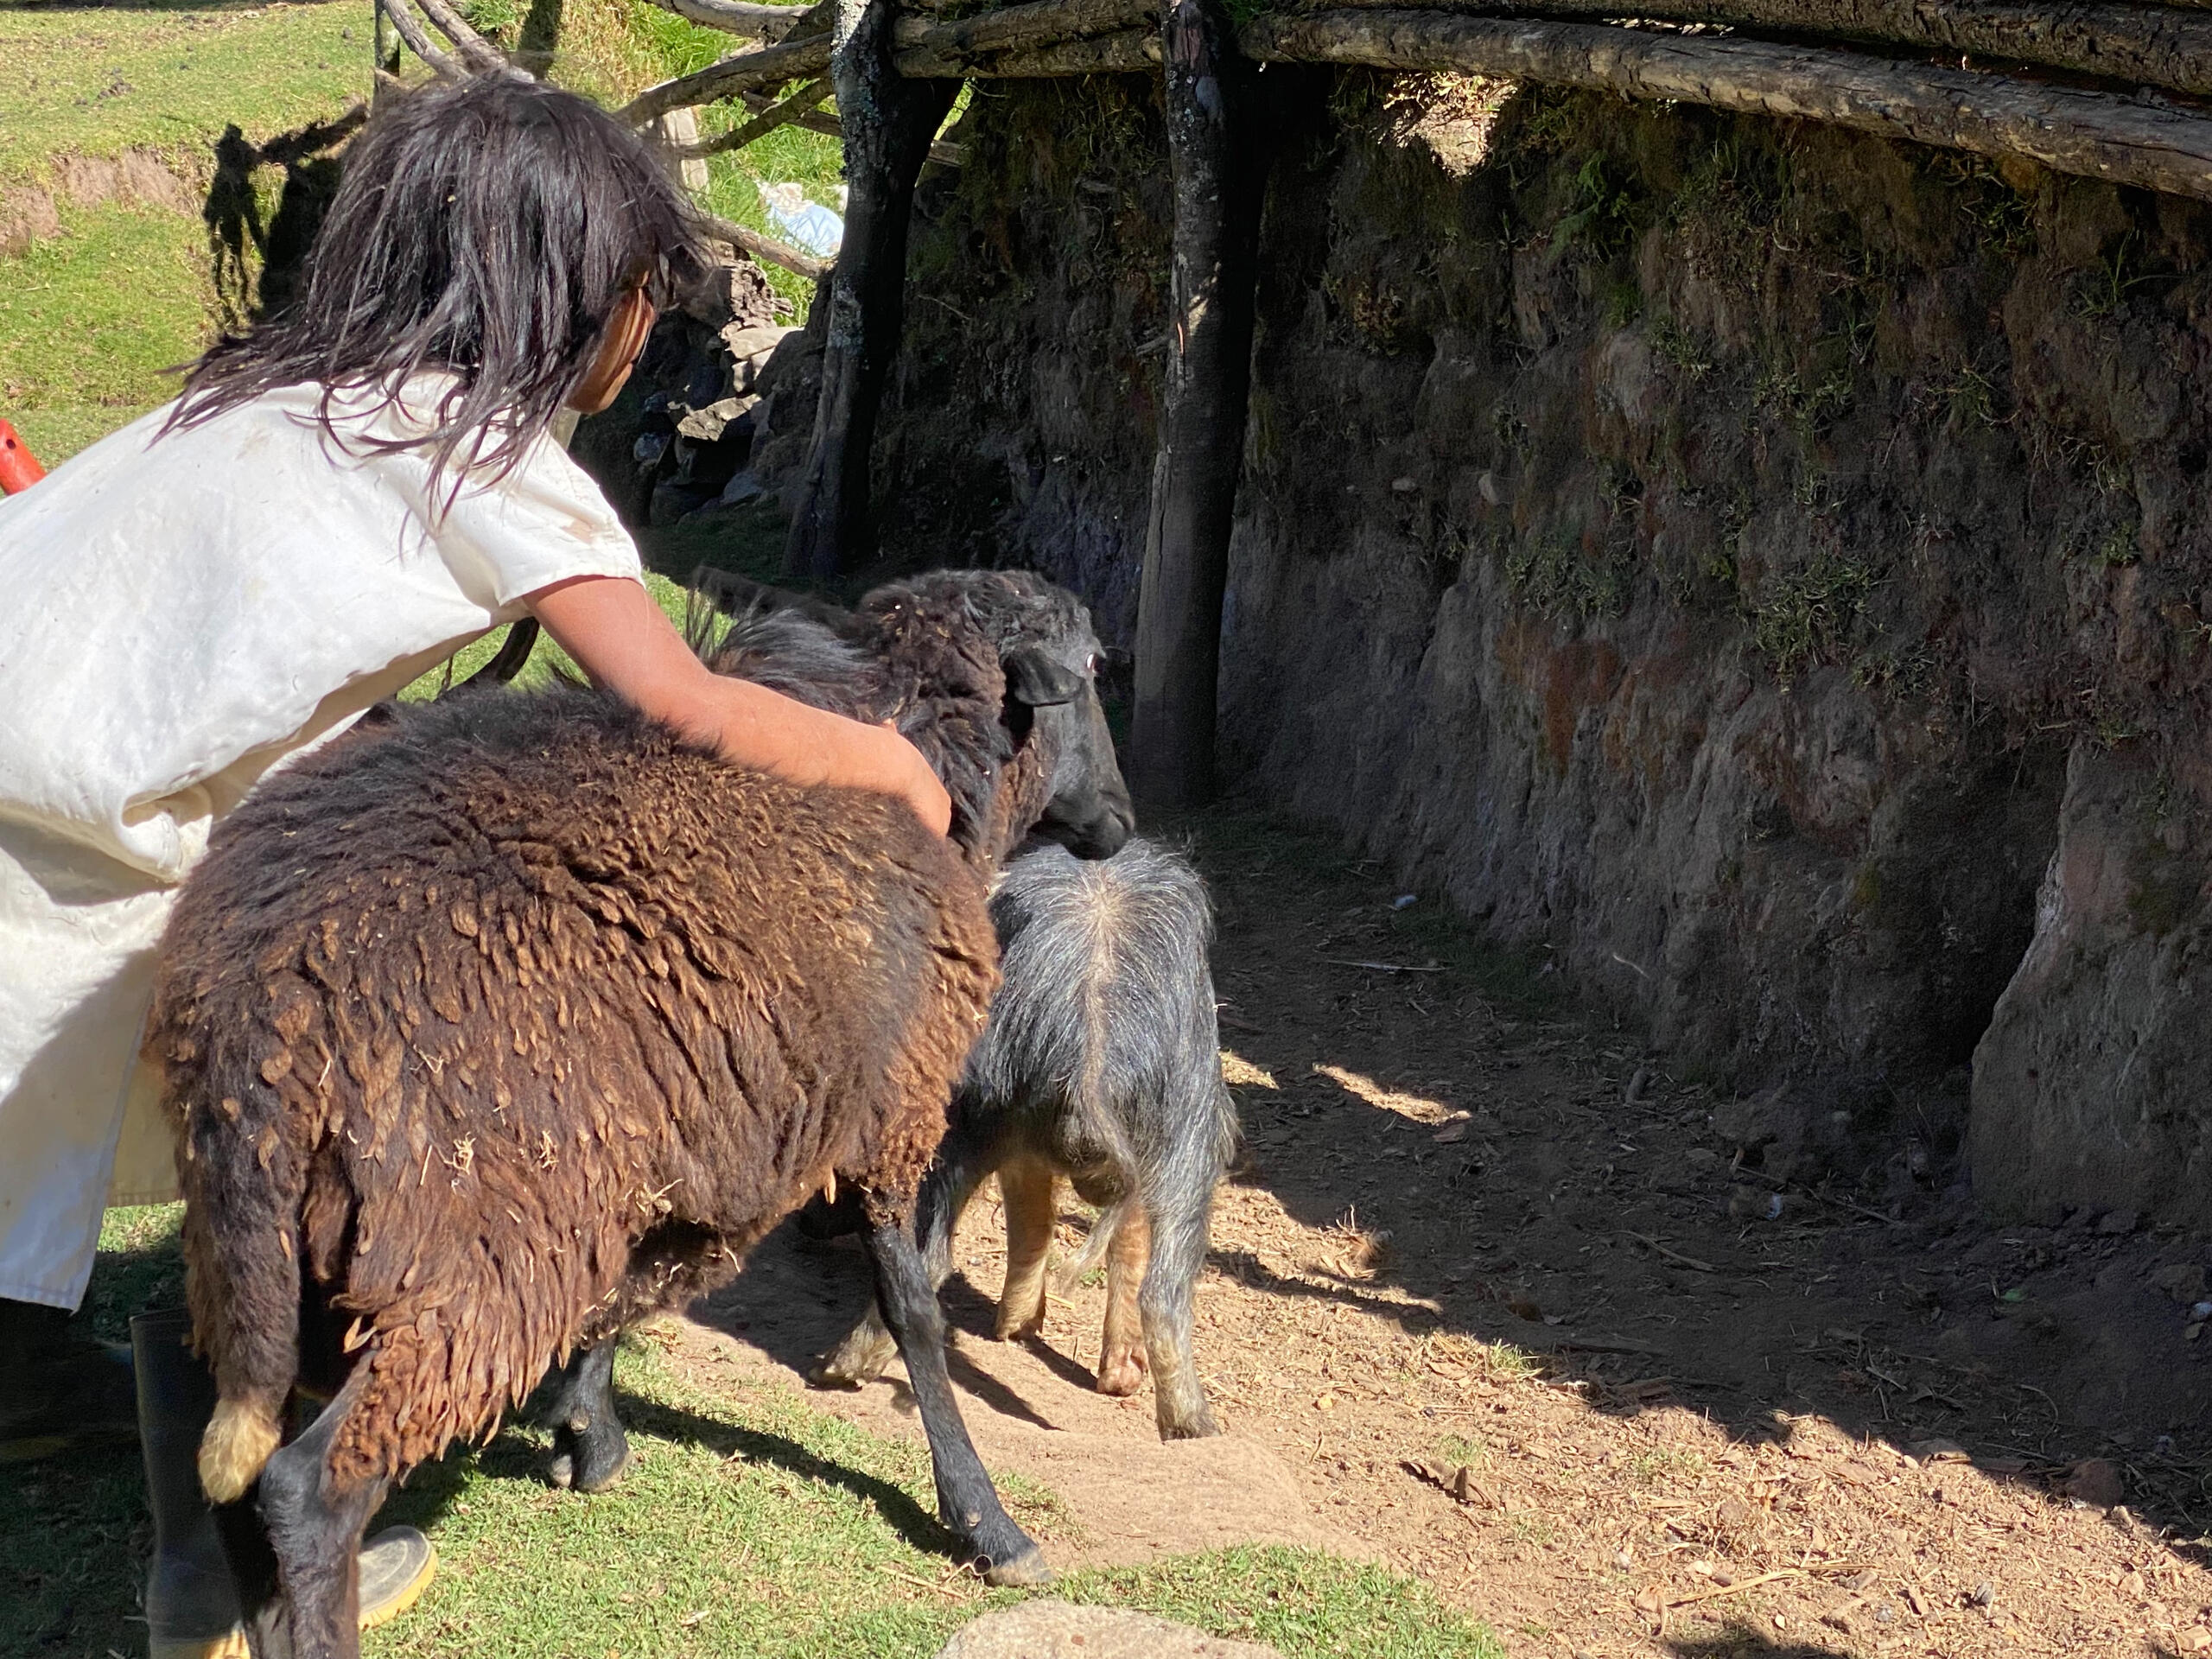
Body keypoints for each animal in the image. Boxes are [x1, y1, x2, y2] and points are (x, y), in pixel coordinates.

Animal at [812, 835, 1237, 1439]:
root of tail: (1088, 1046)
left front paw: (1016, 1331)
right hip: (1183, 1123)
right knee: (1164, 1288)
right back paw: (1195, 1429)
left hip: (977, 1110)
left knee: (932, 1254)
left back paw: (834, 1370)